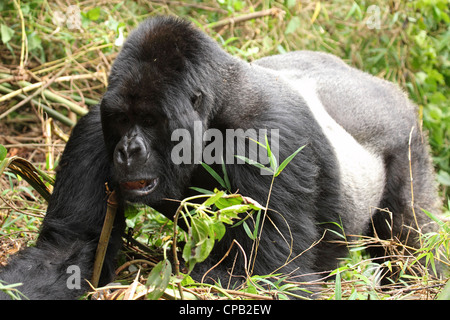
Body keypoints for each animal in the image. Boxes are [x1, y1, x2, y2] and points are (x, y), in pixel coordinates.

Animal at [0, 16, 440, 298]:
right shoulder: (94, 132)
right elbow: (67, 254)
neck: (216, 112)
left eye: (150, 120)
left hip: (408, 138)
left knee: (413, 239)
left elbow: (268, 278)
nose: (127, 151)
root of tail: (385, 85)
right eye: (123, 120)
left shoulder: (267, 142)